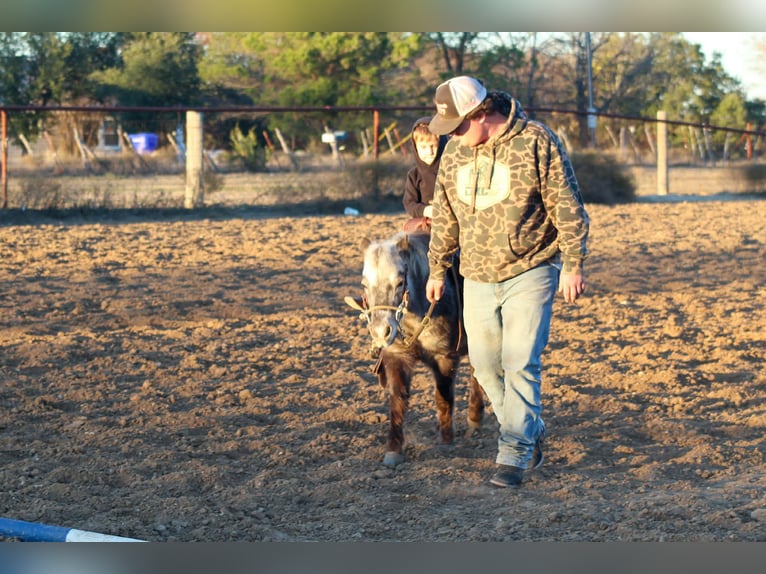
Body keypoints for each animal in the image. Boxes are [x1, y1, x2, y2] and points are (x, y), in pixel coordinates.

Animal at [345, 231, 484, 467]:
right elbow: (397, 400)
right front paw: (393, 450)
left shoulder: (445, 358)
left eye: (400, 281)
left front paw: (446, 441)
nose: (381, 331)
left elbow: (443, 397)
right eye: (364, 284)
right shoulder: (396, 357)